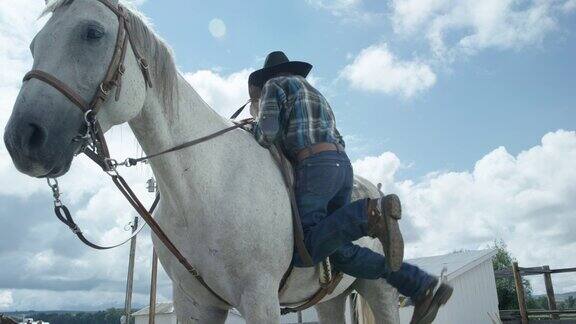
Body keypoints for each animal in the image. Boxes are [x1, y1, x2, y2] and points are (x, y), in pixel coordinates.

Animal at [4, 1, 398, 322]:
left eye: (92, 33)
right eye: (34, 44)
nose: (22, 138)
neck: (204, 185)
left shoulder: (260, 300)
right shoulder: (194, 302)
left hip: (379, 291)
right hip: (331, 299)